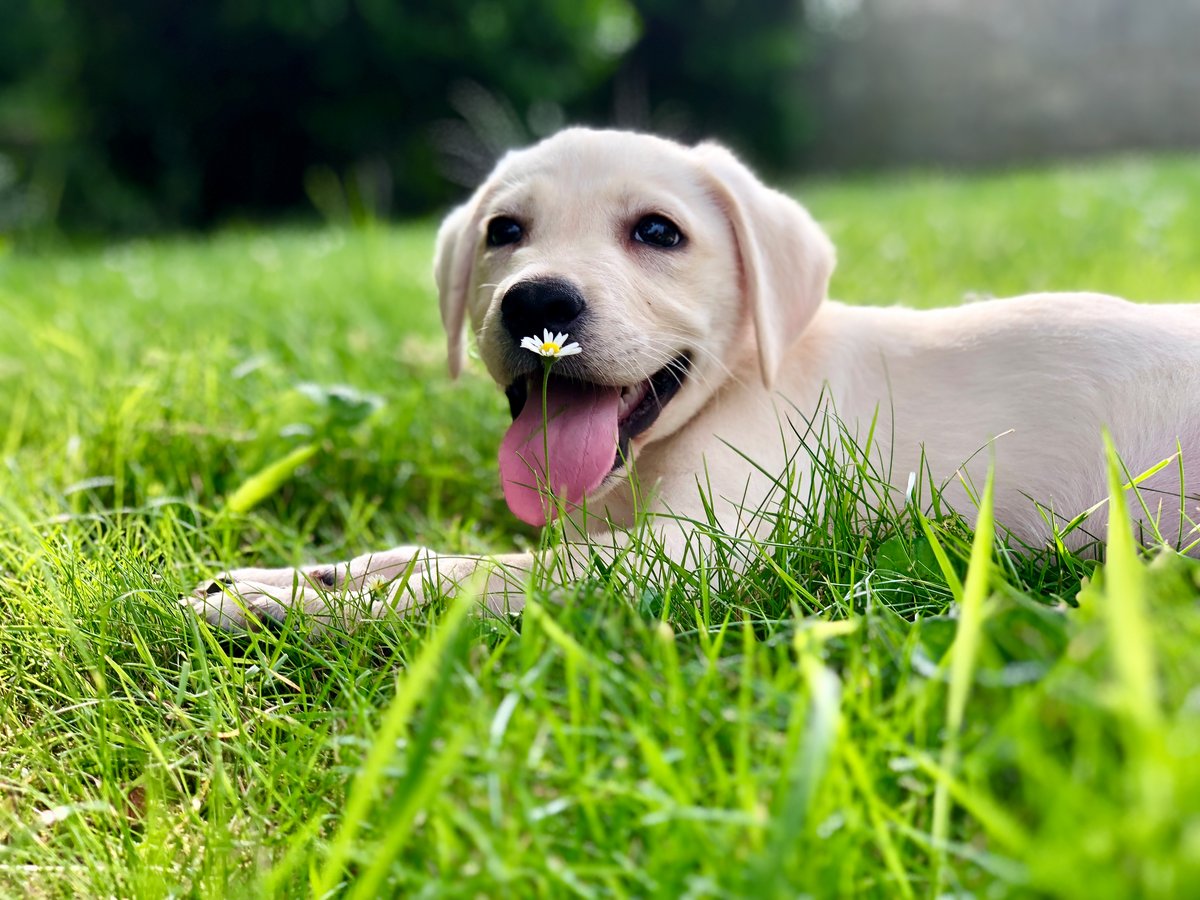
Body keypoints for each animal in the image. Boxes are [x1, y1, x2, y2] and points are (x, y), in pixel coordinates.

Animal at [189, 128, 1200, 633]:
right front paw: (304, 575)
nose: (537, 303)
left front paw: (286, 604)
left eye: (658, 233)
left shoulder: (693, 552)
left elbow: (470, 575)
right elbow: (426, 554)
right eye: (503, 231)